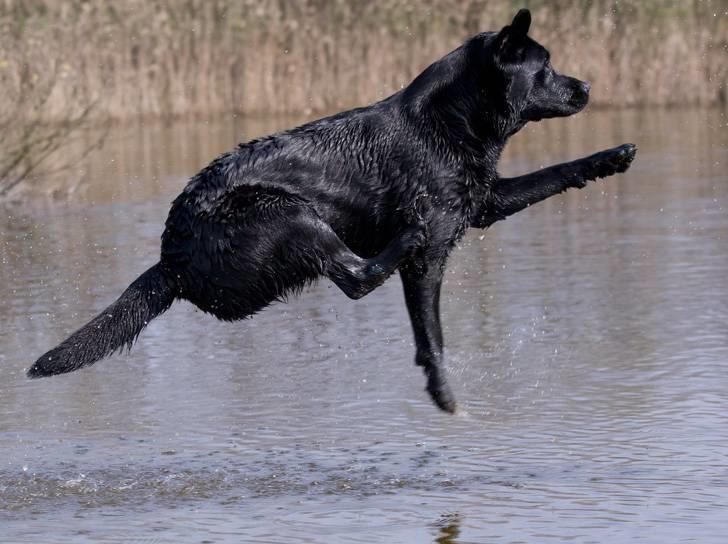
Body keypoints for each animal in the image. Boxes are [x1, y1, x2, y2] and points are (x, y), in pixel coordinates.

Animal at [28, 10, 636, 412]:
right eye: (545, 66)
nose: (586, 86)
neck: (451, 119)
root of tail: (169, 260)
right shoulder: (437, 250)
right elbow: (431, 333)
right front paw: (442, 391)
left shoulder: (484, 202)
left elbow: (555, 173)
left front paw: (612, 157)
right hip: (283, 210)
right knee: (356, 276)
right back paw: (404, 236)